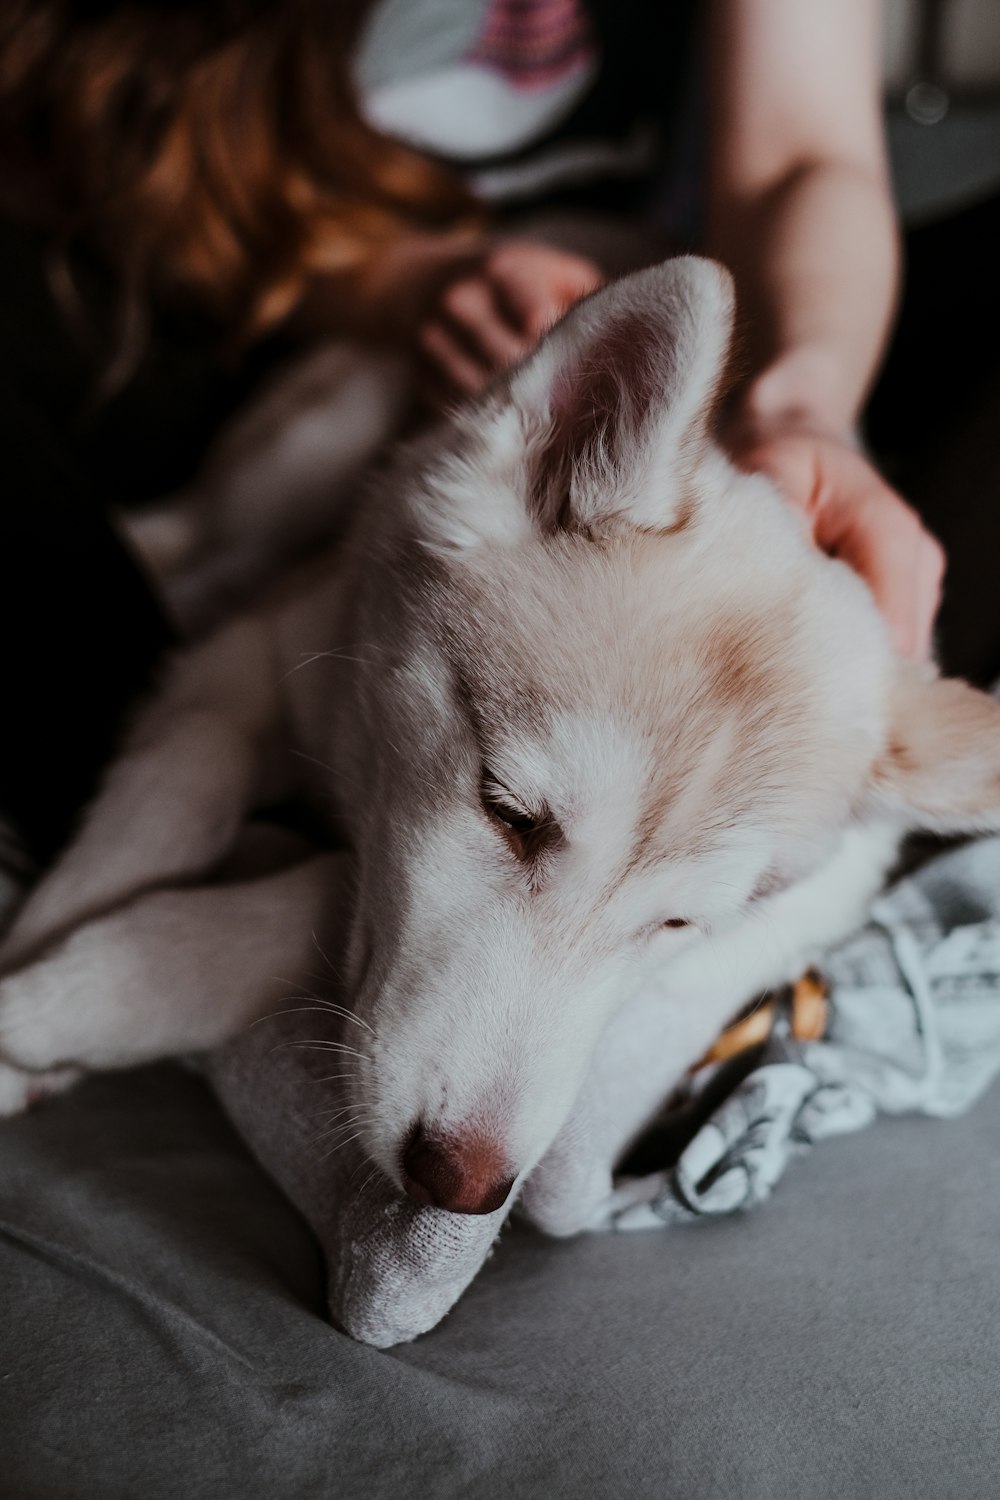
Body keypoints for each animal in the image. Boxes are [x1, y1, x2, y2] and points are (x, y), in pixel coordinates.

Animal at [1, 258, 1000, 1218]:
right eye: (508, 813)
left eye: (678, 924)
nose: (463, 1187)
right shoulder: (247, 664)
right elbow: (163, 809)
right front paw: (43, 963)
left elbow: (314, 887)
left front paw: (74, 1004)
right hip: (295, 464)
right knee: (184, 535)